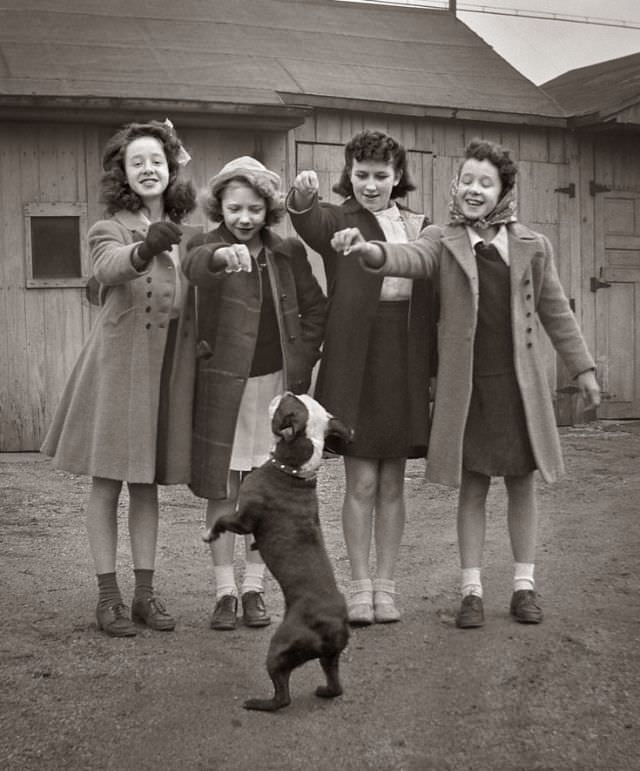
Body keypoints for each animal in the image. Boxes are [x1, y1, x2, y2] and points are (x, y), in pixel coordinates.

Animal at [204, 392, 350, 712]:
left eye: (287, 405)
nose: (287, 390)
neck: (294, 470)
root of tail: (334, 627)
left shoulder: (243, 519)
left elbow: (222, 521)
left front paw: (209, 533)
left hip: (280, 648)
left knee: (282, 694)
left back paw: (258, 703)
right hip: (330, 657)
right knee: (335, 682)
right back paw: (325, 690)